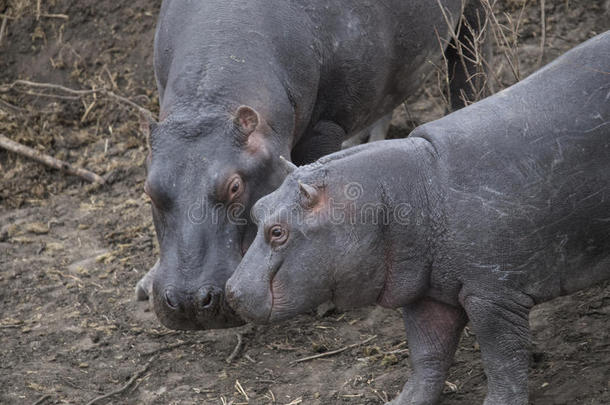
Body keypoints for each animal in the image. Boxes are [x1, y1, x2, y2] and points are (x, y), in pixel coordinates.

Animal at [139, 0, 490, 328]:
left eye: (235, 186)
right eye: (149, 190)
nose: (188, 301)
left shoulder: (325, 124)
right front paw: (145, 282)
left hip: (470, 23)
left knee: (470, 64)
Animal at [224, 31, 608, 404]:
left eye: (277, 232)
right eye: (259, 207)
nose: (230, 291)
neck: (418, 187)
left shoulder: (494, 296)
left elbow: (502, 361)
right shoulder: (425, 293)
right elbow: (427, 356)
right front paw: (402, 401)